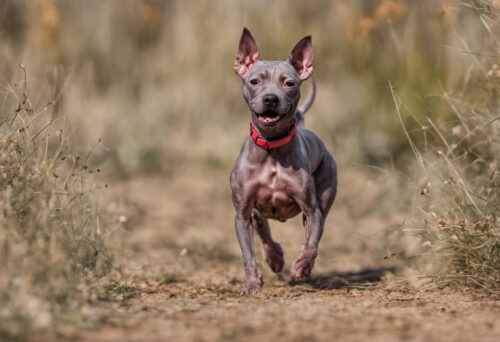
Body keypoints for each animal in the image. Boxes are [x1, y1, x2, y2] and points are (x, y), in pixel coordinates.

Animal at [229, 28, 338, 296]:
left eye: (289, 83)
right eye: (254, 81)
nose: (270, 99)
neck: (271, 148)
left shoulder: (313, 210)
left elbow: (312, 244)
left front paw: (301, 267)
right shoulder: (242, 215)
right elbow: (248, 255)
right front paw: (251, 285)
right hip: (255, 212)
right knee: (264, 231)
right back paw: (275, 258)